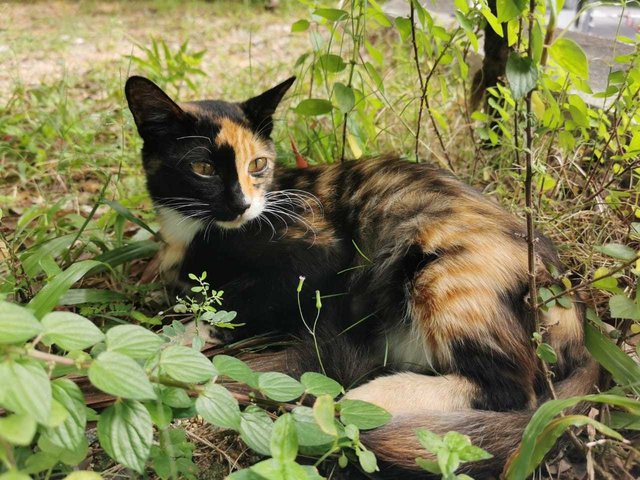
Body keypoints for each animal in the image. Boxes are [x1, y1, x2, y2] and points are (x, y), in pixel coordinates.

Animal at [126, 75, 600, 476]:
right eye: (202, 167)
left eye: (258, 164)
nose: (243, 204)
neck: (194, 231)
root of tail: (571, 305)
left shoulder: (317, 258)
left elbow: (237, 304)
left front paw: (170, 342)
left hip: (442, 274)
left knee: (514, 389)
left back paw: (369, 399)